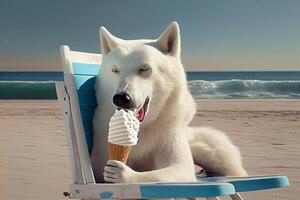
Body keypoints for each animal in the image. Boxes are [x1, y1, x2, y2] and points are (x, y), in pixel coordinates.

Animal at [92, 22, 246, 188]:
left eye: (144, 68)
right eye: (115, 70)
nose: (121, 98)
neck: (144, 128)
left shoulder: (168, 132)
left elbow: (177, 169)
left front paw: (122, 173)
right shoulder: (102, 140)